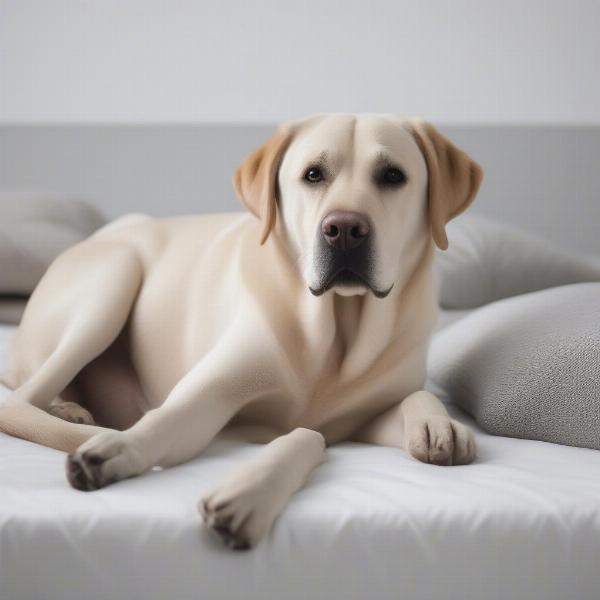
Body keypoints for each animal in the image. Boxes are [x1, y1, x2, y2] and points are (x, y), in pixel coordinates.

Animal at [0, 112, 482, 548]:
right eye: (313, 174)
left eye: (392, 176)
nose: (344, 229)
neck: (334, 334)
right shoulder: (211, 393)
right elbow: (167, 421)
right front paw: (119, 449)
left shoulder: (362, 421)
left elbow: (404, 401)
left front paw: (437, 424)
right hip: (115, 276)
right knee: (23, 399)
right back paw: (72, 415)